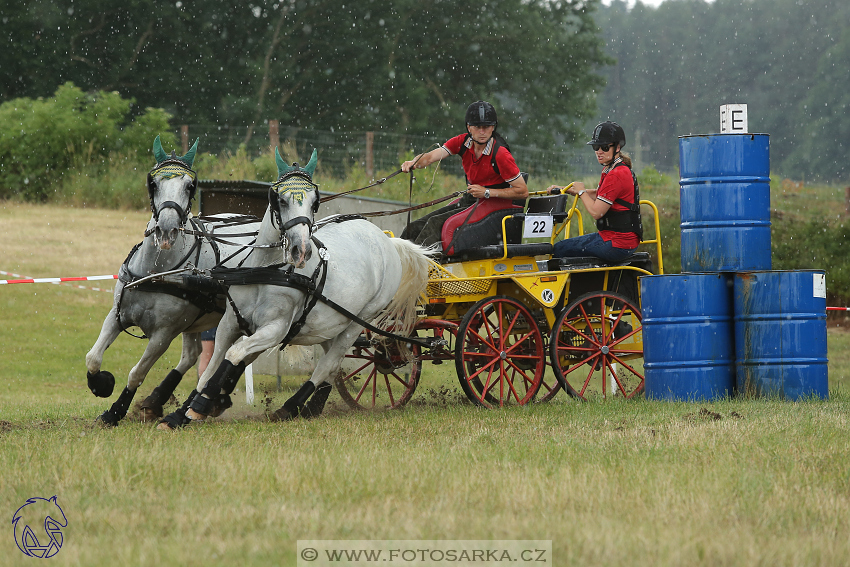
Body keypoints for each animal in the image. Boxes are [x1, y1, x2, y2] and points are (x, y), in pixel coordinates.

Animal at [85, 136, 260, 426]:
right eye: (153, 183)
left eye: (190, 186)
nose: (166, 230)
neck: (155, 271)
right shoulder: (117, 314)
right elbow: (93, 358)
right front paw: (102, 384)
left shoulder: (163, 334)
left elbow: (137, 372)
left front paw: (115, 411)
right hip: (197, 319)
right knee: (193, 355)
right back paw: (159, 400)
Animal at [157, 149, 430, 428]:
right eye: (281, 200)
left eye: (313, 202)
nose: (302, 250)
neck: (267, 270)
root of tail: (387, 240)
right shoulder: (230, 323)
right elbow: (212, 367)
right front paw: (181, 413)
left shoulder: (275, 329)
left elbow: (235, 354)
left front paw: (199, 406)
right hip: (332, 321)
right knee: (332, 364)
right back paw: (312, 406)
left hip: (359, 320)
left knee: (329, 363)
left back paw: (291, 407)